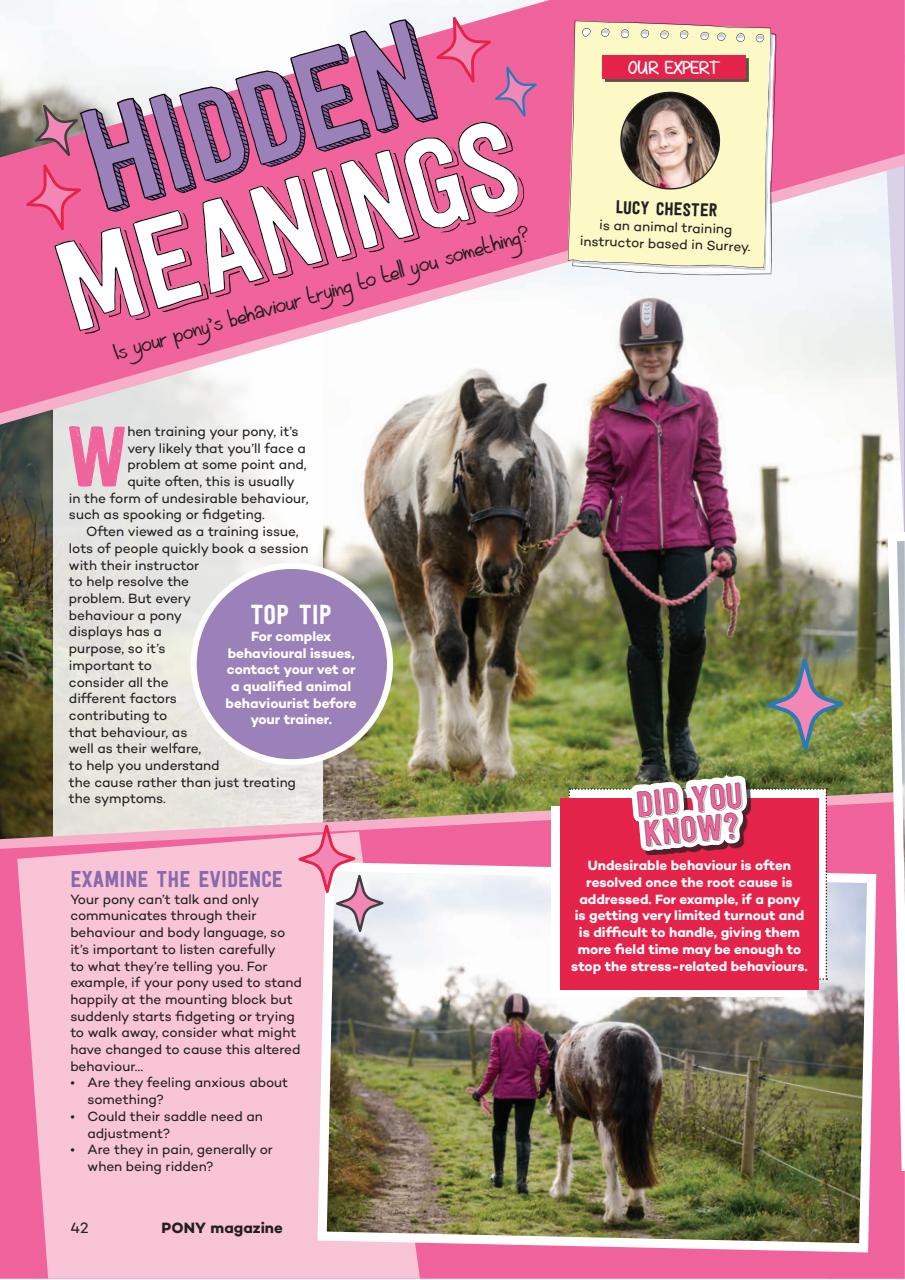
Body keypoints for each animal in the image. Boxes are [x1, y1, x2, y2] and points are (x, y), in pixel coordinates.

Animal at [364, 372, 570, 780]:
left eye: (530, 467)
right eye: (470, 466)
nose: (499, 566)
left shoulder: (523, 582)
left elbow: (501, 664)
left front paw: (497, 760)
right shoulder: (439, 573)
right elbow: (450, 648)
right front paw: (462, 749)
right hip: (405, 579)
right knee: (426, 662)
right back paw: (428, 754)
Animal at [544, 1020, 662, 1224]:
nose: (549, 1107)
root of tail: (627, 1036)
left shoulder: (565, 1112)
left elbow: (565, 1151)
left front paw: (560, 1189)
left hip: (601, 1121)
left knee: (610, 1158)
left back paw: (612, 1213)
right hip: (642, 1121)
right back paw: (635, 1205)